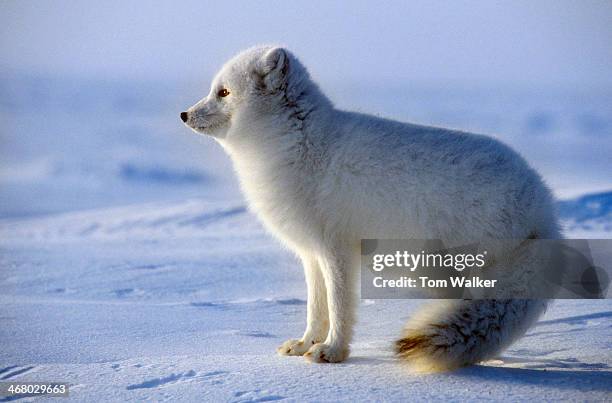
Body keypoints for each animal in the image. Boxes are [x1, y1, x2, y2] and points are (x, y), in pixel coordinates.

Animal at [180, 45, 560, 370]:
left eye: (223, 92)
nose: (184, 114)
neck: (296, 145)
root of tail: (543, 207)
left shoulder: (337, 248)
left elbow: (339, 306)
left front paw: (333, 352)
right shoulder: (311, 253)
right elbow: (316, 308)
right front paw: (305, 345)